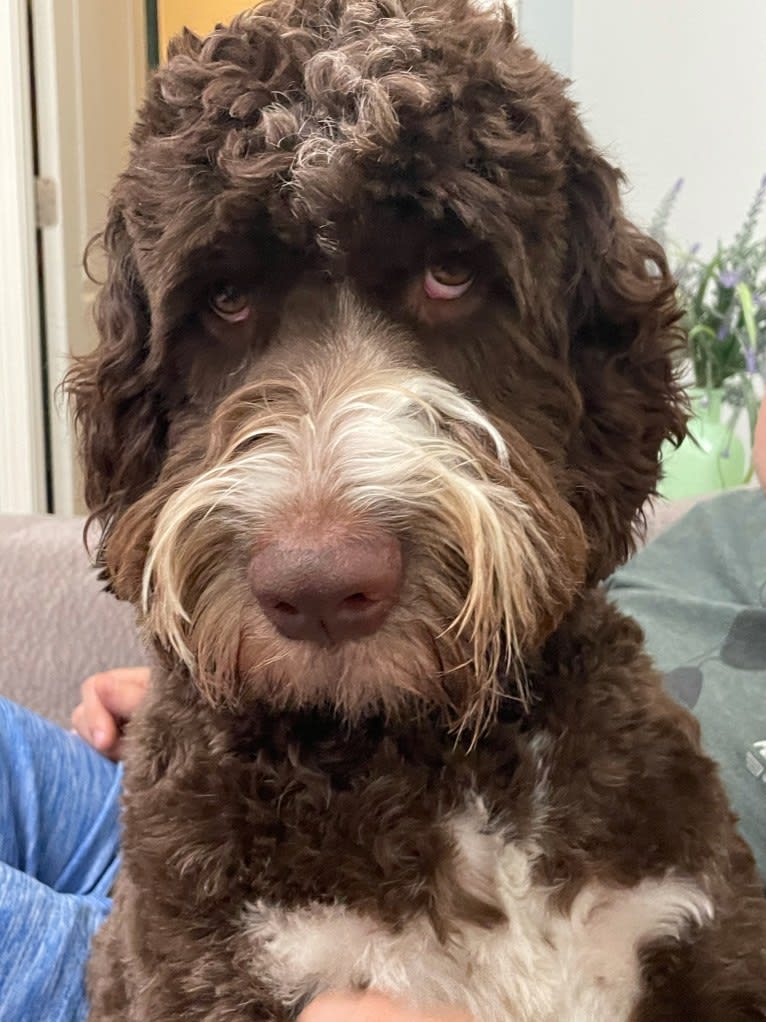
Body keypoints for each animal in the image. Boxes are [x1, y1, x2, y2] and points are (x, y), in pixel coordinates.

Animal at [68, 1, 766, 1021]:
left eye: (451, 274)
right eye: (225, 299)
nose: (320, 588)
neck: (435, 753)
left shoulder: (698, 923)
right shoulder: (205, 966)